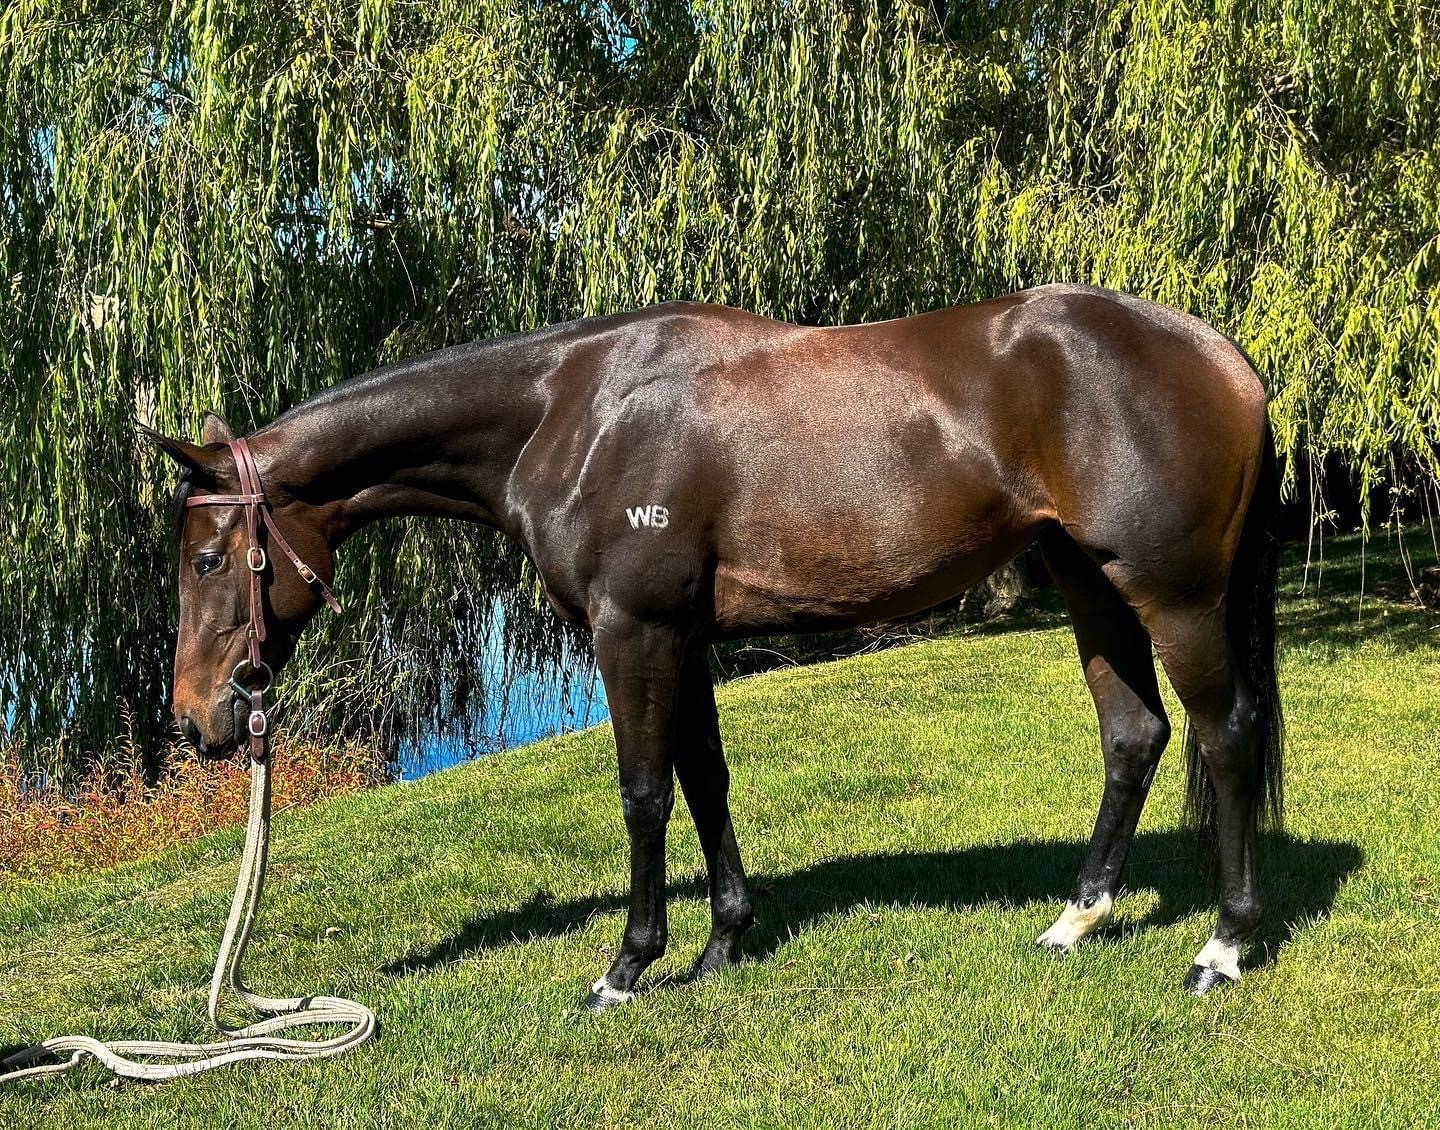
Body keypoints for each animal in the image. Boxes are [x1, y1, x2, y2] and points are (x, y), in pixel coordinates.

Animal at [143, 283, 1283, 1009]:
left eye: (206, 556)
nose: (199, 718)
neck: (573, 412)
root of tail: (1221, 354)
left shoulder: (632, 630)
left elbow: (646, 792)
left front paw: (626, 967)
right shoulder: (681, 637)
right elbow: (706, 779)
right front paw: (721, 942)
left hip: (1174, 593)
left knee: (1225, 733)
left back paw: (1222, 946)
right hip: (1086, 581)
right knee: (1134, 735)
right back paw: (1075, 920)